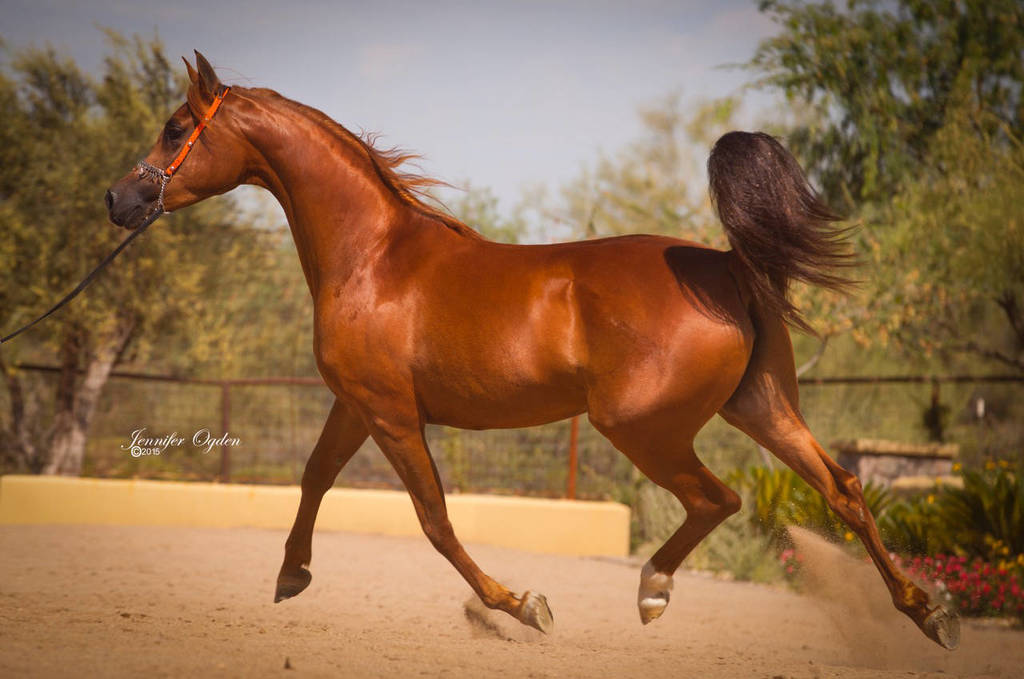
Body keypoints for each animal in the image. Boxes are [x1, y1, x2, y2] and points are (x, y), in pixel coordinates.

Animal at [105, 52, 958, 650]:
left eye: (177, 129)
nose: (119, 198)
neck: (375, 258)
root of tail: (725, 266)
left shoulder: (391, 414)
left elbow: (435, 518)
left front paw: (522, 605)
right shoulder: (356, 405)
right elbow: (315, 476)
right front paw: (291, 573)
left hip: (642, 426)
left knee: (718, 498)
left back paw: (652, 590)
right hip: (760, 407)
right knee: (843, 489)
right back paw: (927, 611)